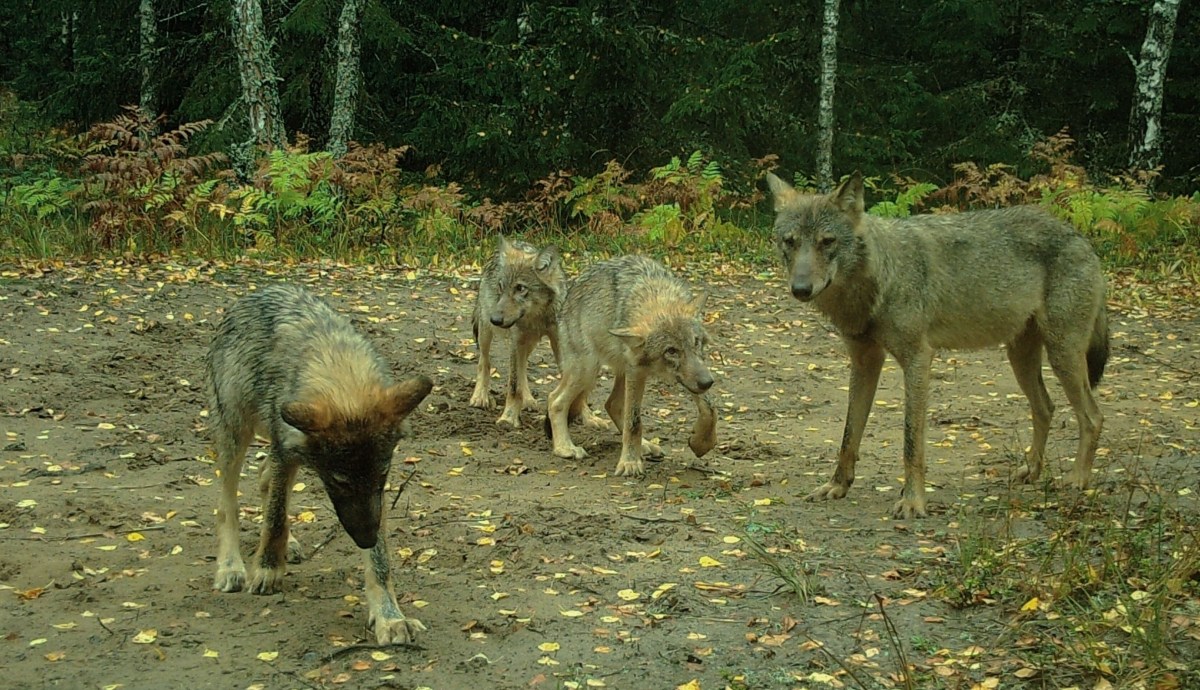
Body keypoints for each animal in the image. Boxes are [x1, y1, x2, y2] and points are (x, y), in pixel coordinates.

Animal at [206, 284, 433, 644]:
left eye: (382, 475)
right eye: (339, 481)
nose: (364, 539)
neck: (337, 367)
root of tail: (257, 291)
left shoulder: (372, 494)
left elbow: (380, 563)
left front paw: (390, 617)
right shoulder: (286, 448)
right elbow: (274, 518)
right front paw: (267, 570)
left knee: (265, 478)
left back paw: (290, 545)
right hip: (236, 433)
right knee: (228, 503)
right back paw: (231, 566)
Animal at [469, 236, 568, 428]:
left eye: (520, 288)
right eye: (501, 286)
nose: (495, 319)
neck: (538, 316)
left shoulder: (559, 341)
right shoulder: (516, 340)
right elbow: (514, 385)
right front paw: (508, 419)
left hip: (528, 342)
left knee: (523, 369)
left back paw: (528, 400)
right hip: (486, 332)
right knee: (484, 362)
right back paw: (479, 397)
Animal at [543, 255, 719, 477]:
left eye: (695, 342)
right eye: (671, 351)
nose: (708, 382)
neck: (655, 294)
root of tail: (568, 294)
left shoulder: (693, 374)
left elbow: (710, 408)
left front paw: (702, 443)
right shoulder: (636, 369)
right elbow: (634, 422)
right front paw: (630, 463)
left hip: (616, 371)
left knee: (612, 404)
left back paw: (645, 445)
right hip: (588, 371)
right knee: (555, 400)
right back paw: (564, 448)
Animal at [767, 172, 1108, 519]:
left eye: (827, 241)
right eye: (790, 241)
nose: (800, 289)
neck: (879, 280)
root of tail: (1081, 238)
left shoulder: (918, 359)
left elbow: (911, 441)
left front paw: (913, 501)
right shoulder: (865, 361)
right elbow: (849, 436)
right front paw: (837, 486)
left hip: (1062, 355)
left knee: (1092, 417)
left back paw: (1078, 480)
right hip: (1021, 358)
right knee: (1046, 408)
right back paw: (1032, 471)